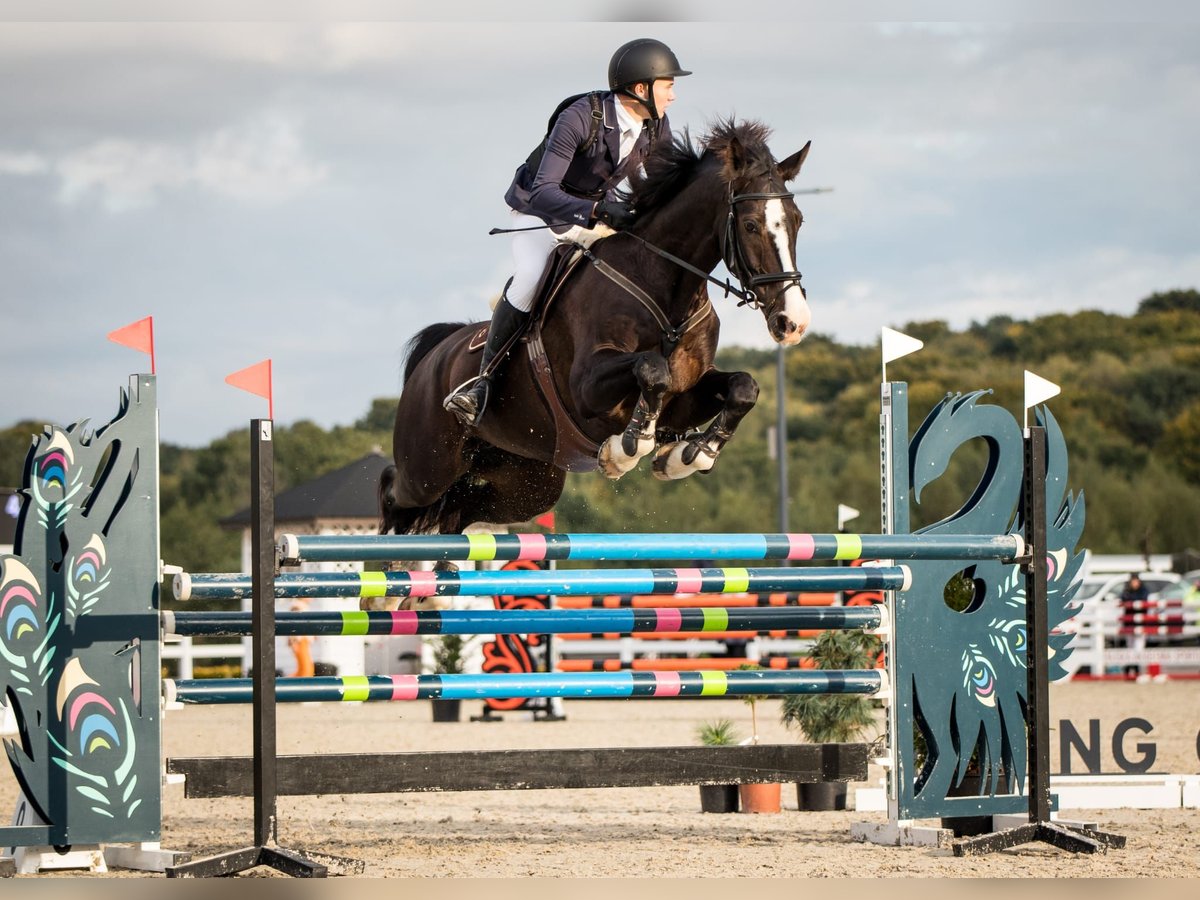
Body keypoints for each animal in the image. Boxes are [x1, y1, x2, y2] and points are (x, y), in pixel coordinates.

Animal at [374, 118, 811, 556]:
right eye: (750, 225)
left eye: (797, 220)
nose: (793, 322)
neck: (665, 290)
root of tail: (436, 353)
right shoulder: (587, 388)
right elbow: (651, 369)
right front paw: (626, 450)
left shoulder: (683, 400)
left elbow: (743, 387)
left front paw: (688, 456)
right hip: (429, 465)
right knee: (395, 491)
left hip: (526, 482)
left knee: (458, 510)